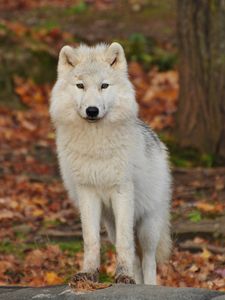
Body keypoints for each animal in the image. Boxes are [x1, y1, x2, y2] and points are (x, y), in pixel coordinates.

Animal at [50, 41, 171, 284]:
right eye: (80, 86)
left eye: (104, 86)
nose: (92, 110)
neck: (95, 144)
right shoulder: (87, 192)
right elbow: (91, 240)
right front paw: (89, 273)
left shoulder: (122, 191)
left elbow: (125, 244)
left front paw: (123, 275)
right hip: (111, 224)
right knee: (136, 259)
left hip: (148, 226)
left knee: (149, 260)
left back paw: (147, 284)